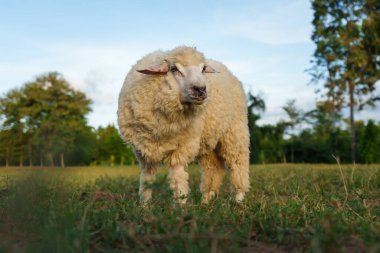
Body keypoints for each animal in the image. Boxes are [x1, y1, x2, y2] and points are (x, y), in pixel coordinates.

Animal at [117, 46, 251, 206]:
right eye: (174, 69)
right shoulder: (143, 150)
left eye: (203, 68)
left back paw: (238, 199)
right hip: (207, 141)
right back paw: (206, 201)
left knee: (238, 164)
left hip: (235, 132)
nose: (200, 89)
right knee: (213, 169)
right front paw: (145, 206)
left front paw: (180, 206)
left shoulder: (182, 147)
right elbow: (146, 180)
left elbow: (178, 180)